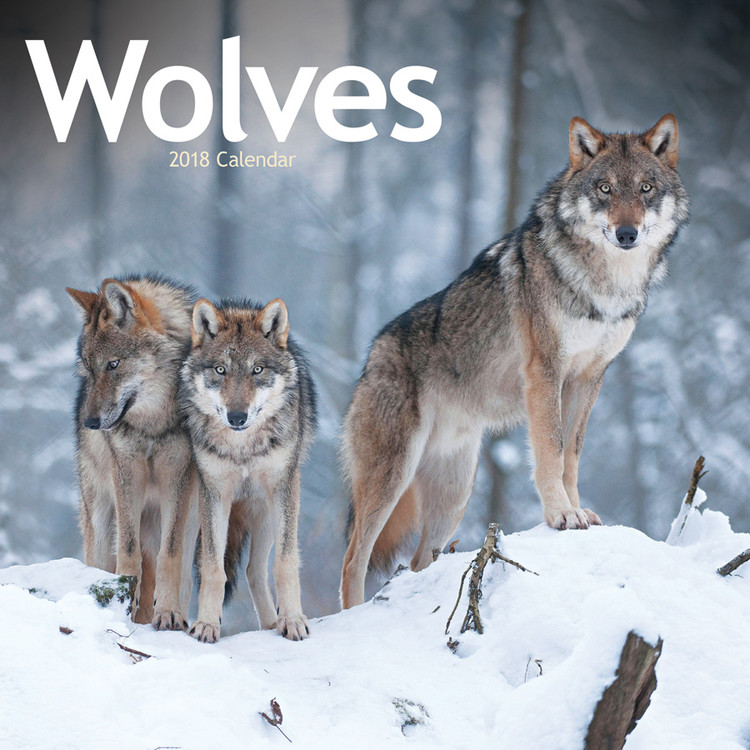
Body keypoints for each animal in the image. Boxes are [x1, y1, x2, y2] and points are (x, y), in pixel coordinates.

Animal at [67, 274, 199, 628]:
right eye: (89, 369)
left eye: (113, 364)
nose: (89, 422)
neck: (152, 422)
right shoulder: (125, 470)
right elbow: (128, 548)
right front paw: (122, 602)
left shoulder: (179, 474)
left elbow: (170, 554)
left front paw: (168, 613)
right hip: (99, 517)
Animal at [180, 297, 317, 643]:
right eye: (220, 370)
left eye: (257, 370)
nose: (237, 416)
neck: (242, 448)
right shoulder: (214, 494)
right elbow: (213, 568)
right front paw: (206, 624)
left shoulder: (284, 488)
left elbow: (285, 563)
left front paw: (293, 620)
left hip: (266, 509)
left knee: (255, 570)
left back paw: (273, 625)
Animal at [341, 114, 689, 608]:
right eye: (604, 188)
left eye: (645, 188)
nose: (627, 234)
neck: (604, 286)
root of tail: (372, 355)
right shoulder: (545, 371)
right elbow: (550, 450)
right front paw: (560, 515)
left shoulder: (589, 377)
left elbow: (571, 454)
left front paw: (576, 509)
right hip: (393, 475)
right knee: (353, 559)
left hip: (454, 496)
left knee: (419, 560)